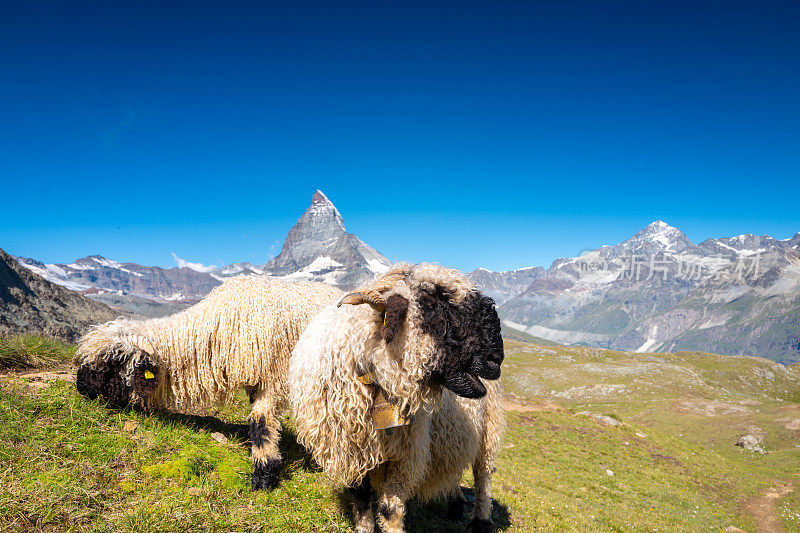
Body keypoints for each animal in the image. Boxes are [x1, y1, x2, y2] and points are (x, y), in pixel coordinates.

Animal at [76, 276, 346, 488]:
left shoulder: (273, 380)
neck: (221, 326)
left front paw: (264, 473)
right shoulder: (256, 382)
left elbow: (261, 424)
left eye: (113, 362)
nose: (81, 387)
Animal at [290, 262, 506, 532]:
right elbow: (360, 498)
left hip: (489, 428)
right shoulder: (351, 451)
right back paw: (455, 504)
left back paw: (480, 520)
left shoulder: (406, 455)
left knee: (483, 476)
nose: (495, 359)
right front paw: (364, 527)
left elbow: (390, 509)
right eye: (435, 306)